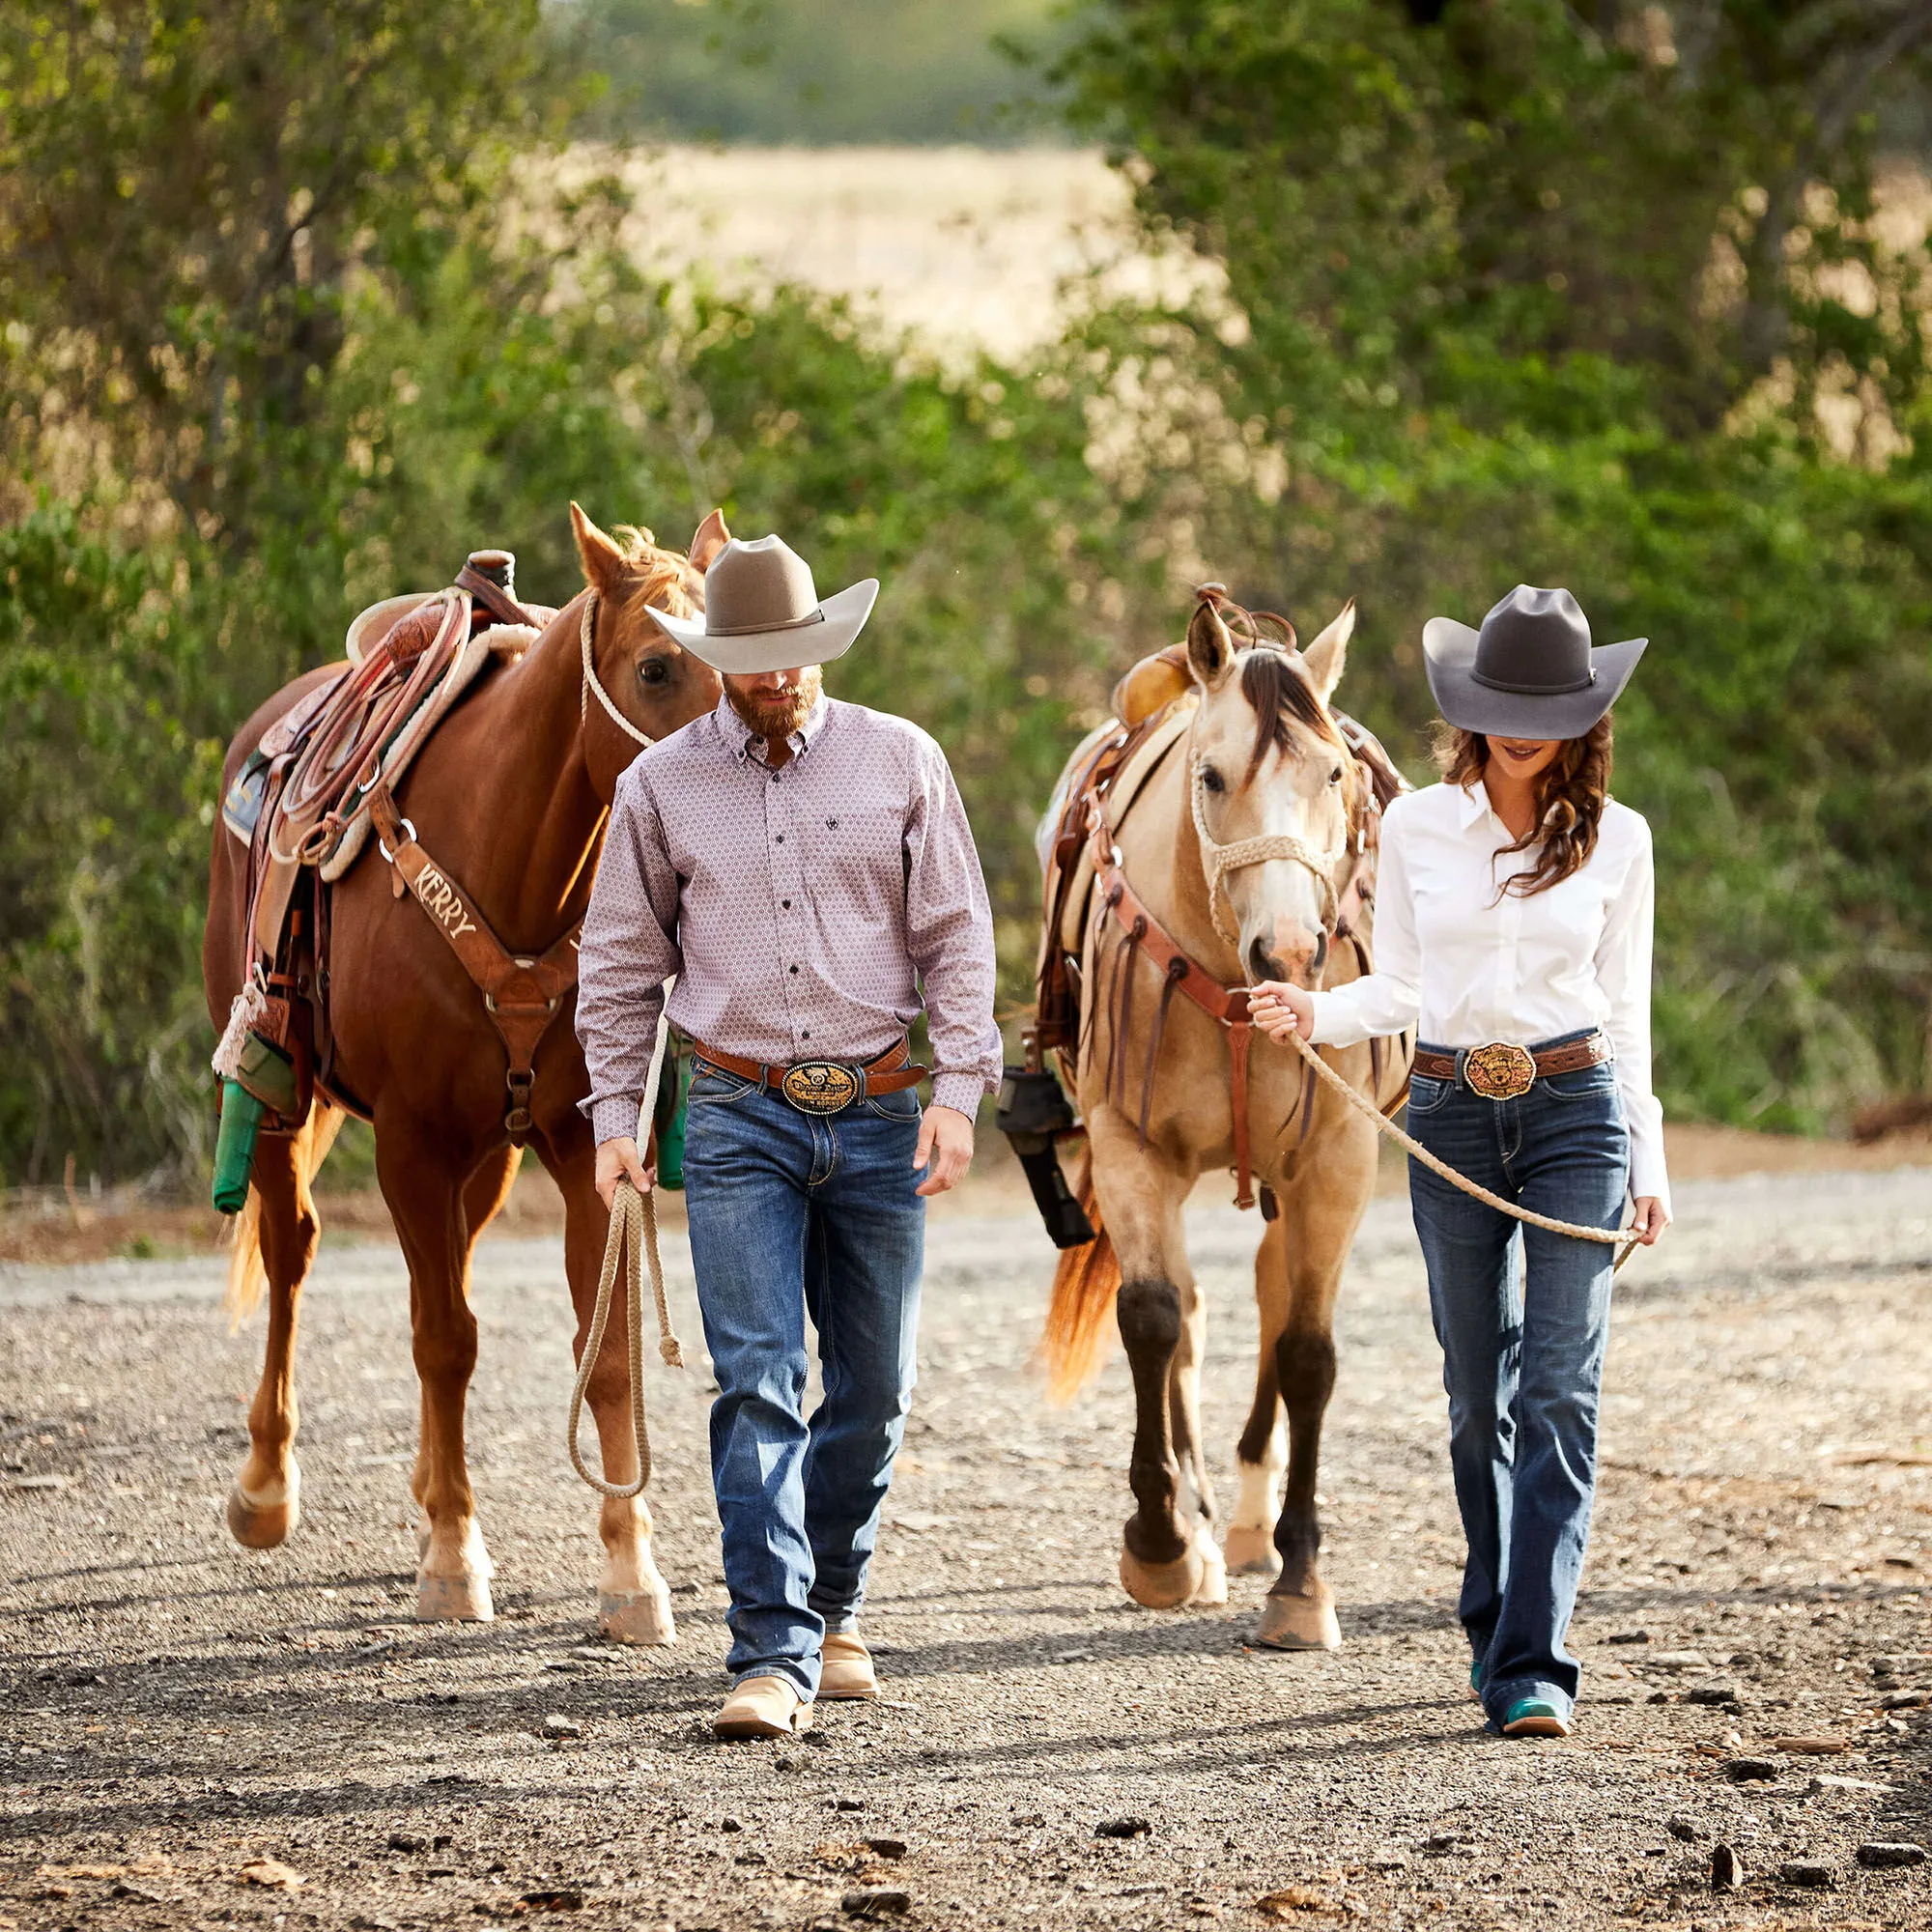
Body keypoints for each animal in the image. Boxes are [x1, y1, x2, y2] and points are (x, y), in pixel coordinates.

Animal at [204, 506, 726, 1638]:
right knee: (291, 1252)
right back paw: (267, 1485)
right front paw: (452, 1555)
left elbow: (602, 1352)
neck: (513, 871)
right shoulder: (412, 1142)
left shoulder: (577, 1145)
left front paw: (631, 1573)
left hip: (493, 1156)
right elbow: (441, 1338)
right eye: (657, 666)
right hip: (280, 1096)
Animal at [1043, 583, 1406, 1646]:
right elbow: (1155, 1318)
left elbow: (1308, 1352)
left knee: (1274, 1295)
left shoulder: (1336, 1161)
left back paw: (1250, 1522)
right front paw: (1161, 1543)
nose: (1288, 952)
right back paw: (1208, 1531)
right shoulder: (1129, 1148)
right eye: (1210, 775)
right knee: (1196, 1312)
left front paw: (1302, 1578)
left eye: (1334, 773)